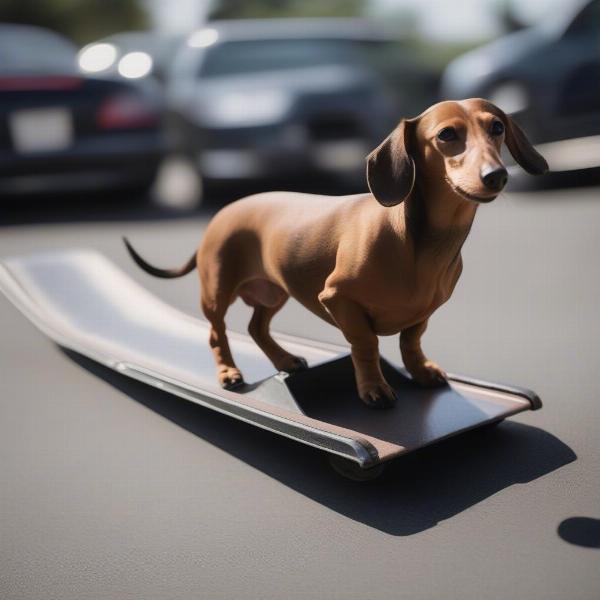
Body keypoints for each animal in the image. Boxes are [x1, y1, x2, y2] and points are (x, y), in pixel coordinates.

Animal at [124, 98, 548, 408]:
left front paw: (421, 371)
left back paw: (285, 360)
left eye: (496, 127)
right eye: (447, 134)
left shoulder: (424, 312)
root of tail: (223, 212)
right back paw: (228, 372)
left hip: (275, 292)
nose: (497, 176)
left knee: (257, 328)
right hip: (218, 291)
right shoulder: (338, 299)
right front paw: (373, 387)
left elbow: (411, 341)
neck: (418, 243)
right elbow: (366, 345)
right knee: (218, 334)